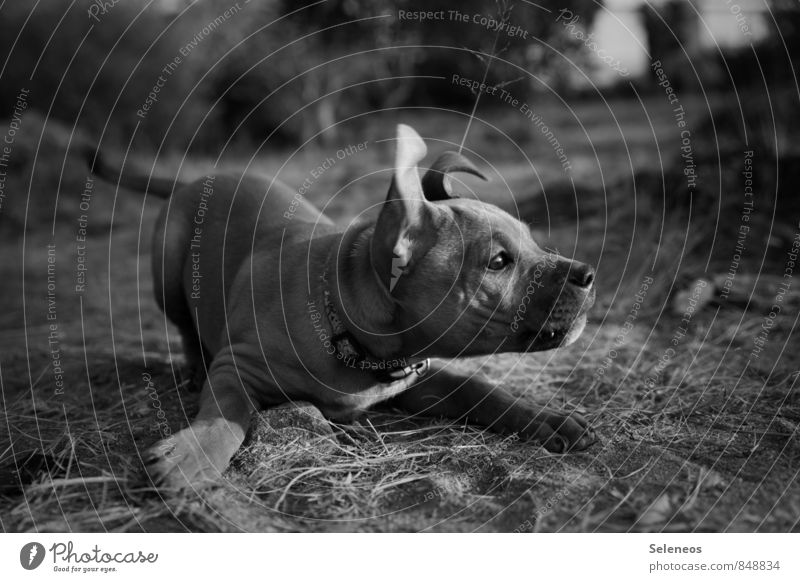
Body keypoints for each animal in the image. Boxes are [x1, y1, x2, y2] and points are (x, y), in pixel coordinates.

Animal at [90, 125, 596, 490]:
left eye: (531, 239)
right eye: (498, 262)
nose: (588, 274)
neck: (344, 324)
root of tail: (196, 179)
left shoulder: (417, 376)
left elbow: (479, 389)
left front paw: (547, 419)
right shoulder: (239, 367)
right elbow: (229, 413)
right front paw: (193, 454)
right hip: (168, 273)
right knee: (186, 327)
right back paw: (194, 368)